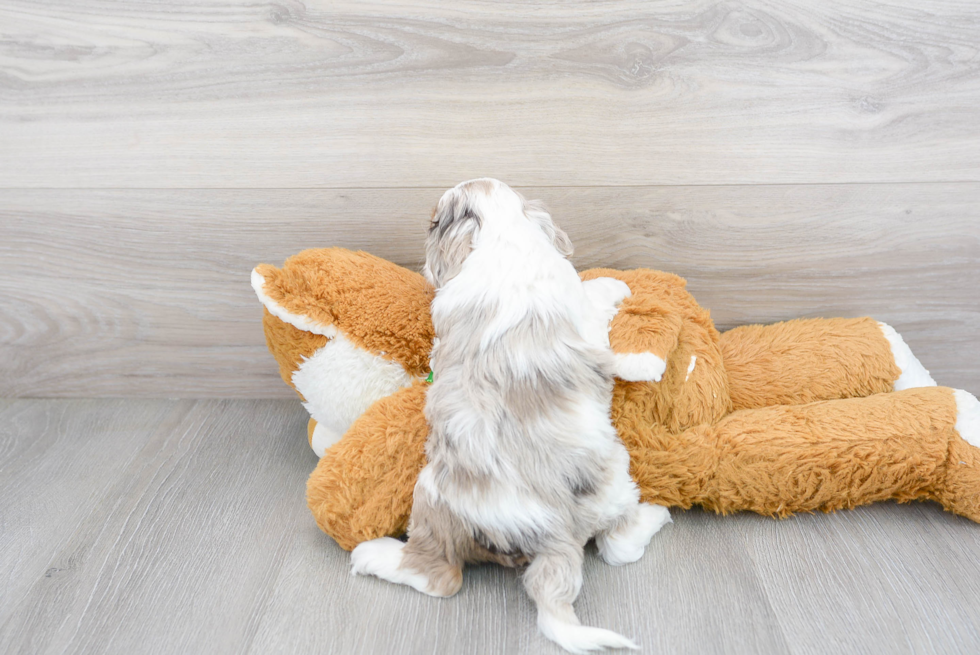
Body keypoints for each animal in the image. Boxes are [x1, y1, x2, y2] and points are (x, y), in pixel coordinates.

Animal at [348, 178, 668, 652]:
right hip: (614, 478)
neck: (504, 234)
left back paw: (373, 555)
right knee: (618, 545)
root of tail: (556, 532)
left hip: (432, 498)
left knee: (438, 576)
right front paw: (616, 288)